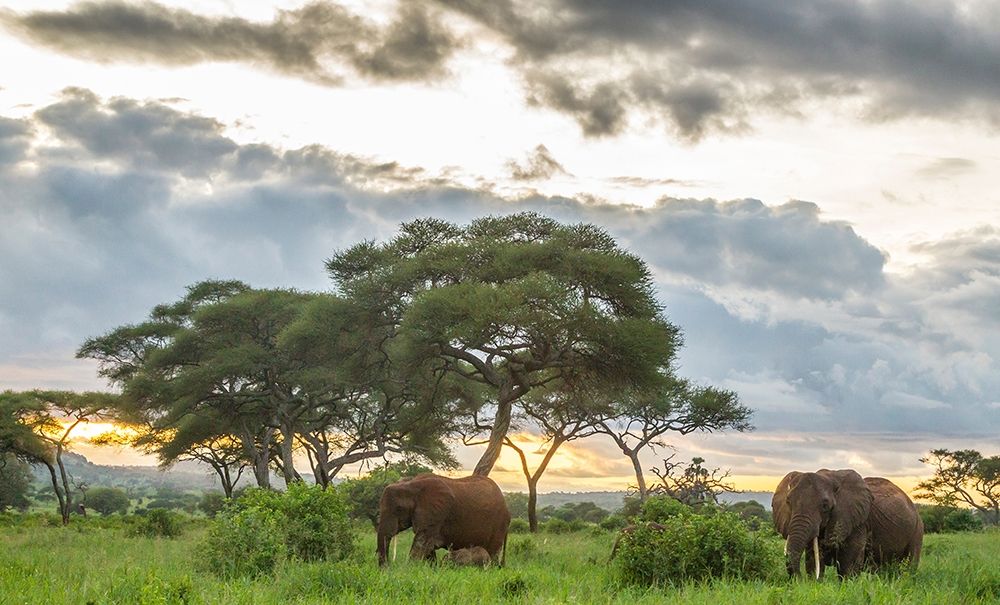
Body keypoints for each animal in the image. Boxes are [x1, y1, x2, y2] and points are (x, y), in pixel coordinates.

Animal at [377, 473, 510, 567]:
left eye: (399, 509)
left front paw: (408, 571)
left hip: (498, 524)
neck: (411, 484)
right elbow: (428, 547)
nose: (387, 569)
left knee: (493, 552)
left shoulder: (435, 514)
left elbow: (422, 543)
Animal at [772, 469, 923, 579]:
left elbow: (849, 563)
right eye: (788, 502)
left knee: (909, 565)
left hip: (917, 530)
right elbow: (814, 559)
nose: (799, 580)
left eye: (825, 505)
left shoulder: (858, 521)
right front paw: (814, 584)